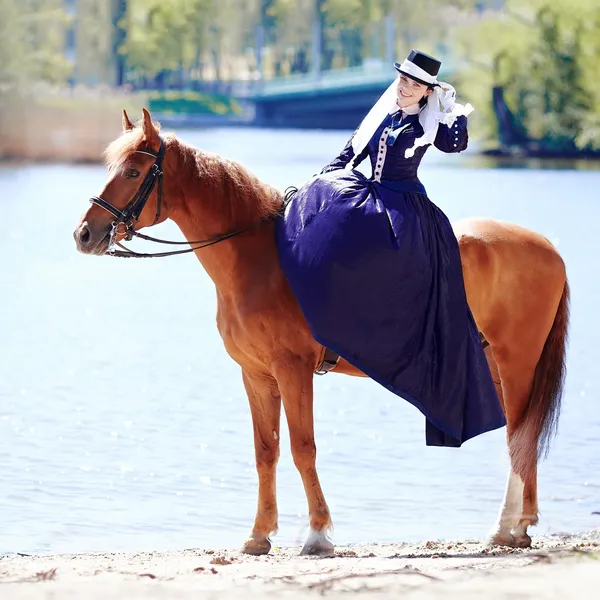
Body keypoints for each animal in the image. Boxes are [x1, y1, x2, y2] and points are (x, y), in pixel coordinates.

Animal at [74, 110, 568, 556]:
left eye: (134, 171)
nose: (84, 234)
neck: (260, 261)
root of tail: (548, 247)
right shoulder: (256, 375)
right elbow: (266, 451)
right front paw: (258, 536)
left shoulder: (292, 370)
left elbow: (302, 448)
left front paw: (317, 535)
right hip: (494, 365)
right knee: (519, 437)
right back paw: (515, 529)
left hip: (517, 362)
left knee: (519, 435)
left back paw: (506, 528)